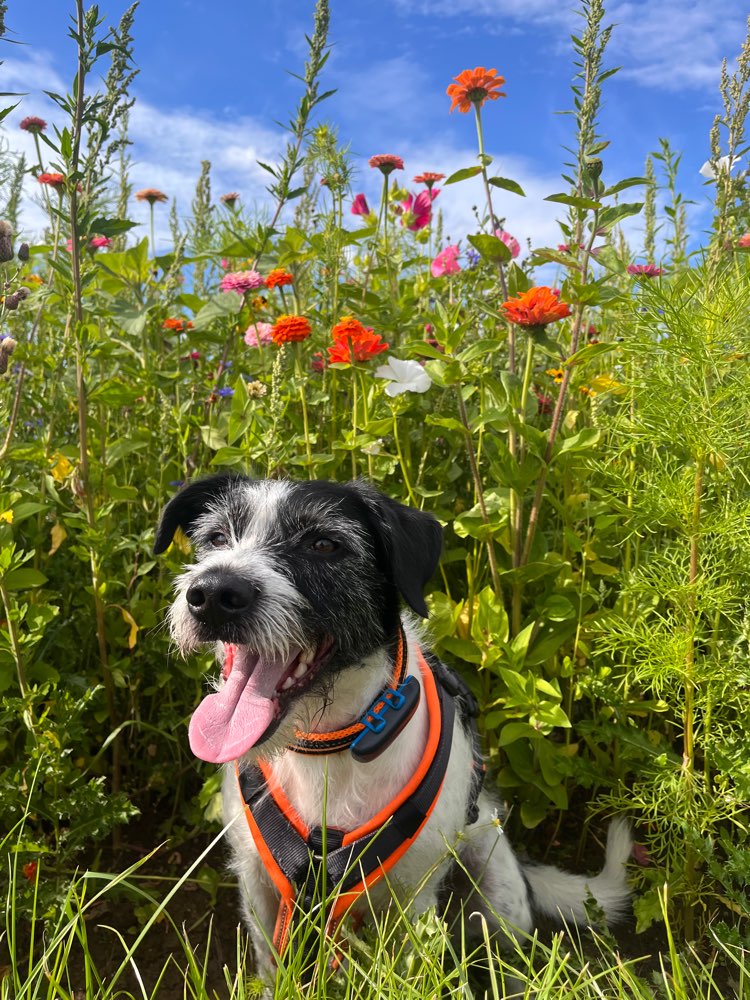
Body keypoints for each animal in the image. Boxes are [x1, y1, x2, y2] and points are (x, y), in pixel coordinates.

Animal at [154, 474, 636, 976]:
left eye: (323, 544)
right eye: (216, 538)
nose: (212, 593)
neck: (328, 745)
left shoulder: (414, 899)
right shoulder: (260, 884)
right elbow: (274, 969)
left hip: (500, 901)